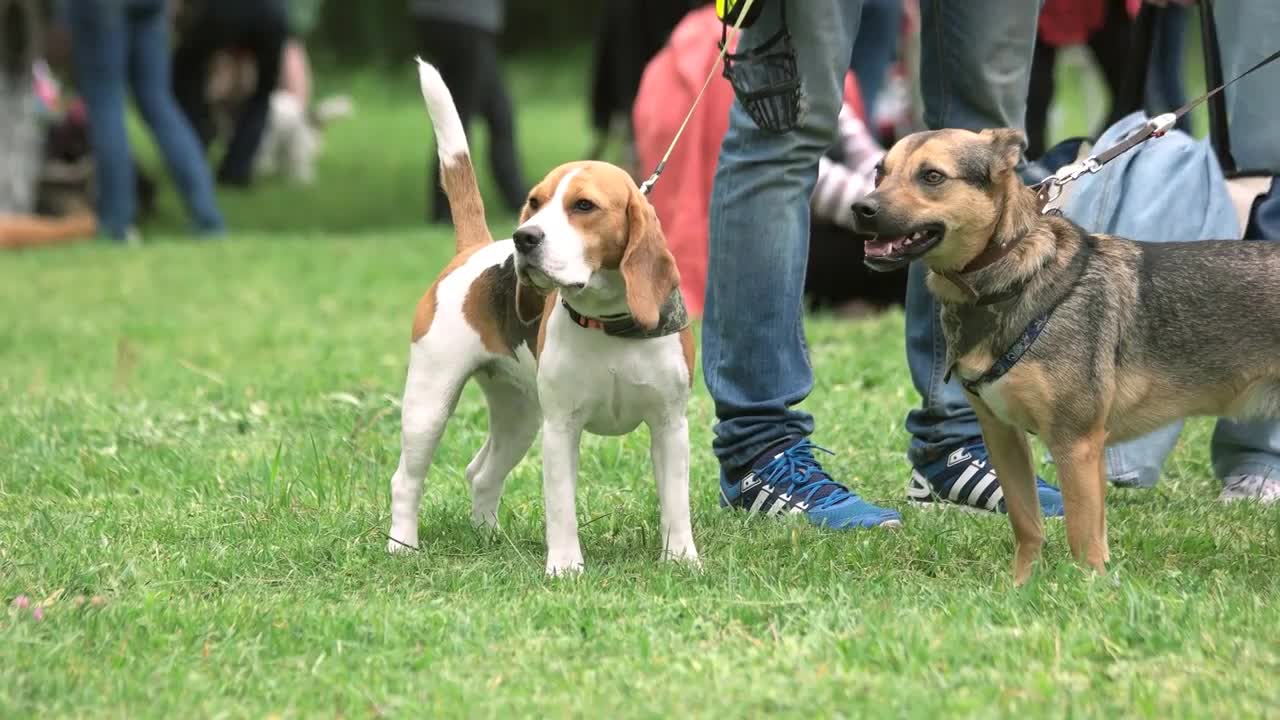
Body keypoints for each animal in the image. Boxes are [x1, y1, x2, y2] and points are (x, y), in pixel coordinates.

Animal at [384, 58, 706, 573]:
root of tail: (474, 248)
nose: (524, 238)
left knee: (481, 472)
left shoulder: (670, 425)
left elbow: (676, 503)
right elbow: (561, 506)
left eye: (584, 206)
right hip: (429, 403)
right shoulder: (561, 428)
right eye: (534, 202)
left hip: (519, 416)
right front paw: (565, 567)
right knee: (406, 480)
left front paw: (681, 561)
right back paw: (402, 545)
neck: (610, 324)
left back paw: (487, 536)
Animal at [849, 126, 1280, 579]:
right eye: (879, 172)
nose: (860, 208)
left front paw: (1089, 586)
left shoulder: (1076, 442)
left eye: (932, 176)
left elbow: (1082, 534)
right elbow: (1027, 523)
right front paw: (1022, 585)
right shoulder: (1002, 434)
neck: (1013, 280)